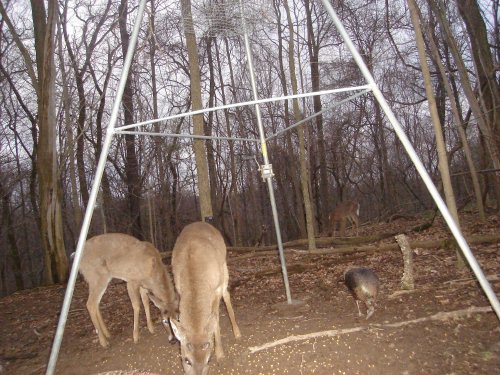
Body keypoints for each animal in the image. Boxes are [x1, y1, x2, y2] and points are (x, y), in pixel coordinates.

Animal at [169, 223, 241, 375]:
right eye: (186, 360)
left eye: (209, 360)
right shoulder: (178, 288)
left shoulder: (215, 290)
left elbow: (215, 321)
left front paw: (220, 354)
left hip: (224, 269)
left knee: (227, 295)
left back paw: (237, 333)